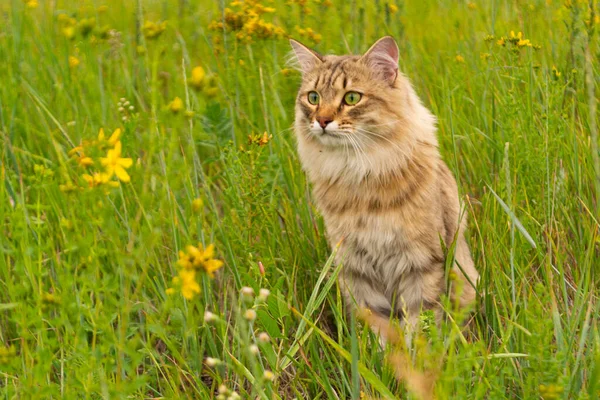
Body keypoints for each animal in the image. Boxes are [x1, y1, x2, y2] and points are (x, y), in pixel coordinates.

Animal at [290, 36, 478, 330]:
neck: (358, 172)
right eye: (313, 97)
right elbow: (376, 329)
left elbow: (419, 327)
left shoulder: (420, 263)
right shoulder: (356, 270)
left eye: (351, 98)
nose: (321, 120)